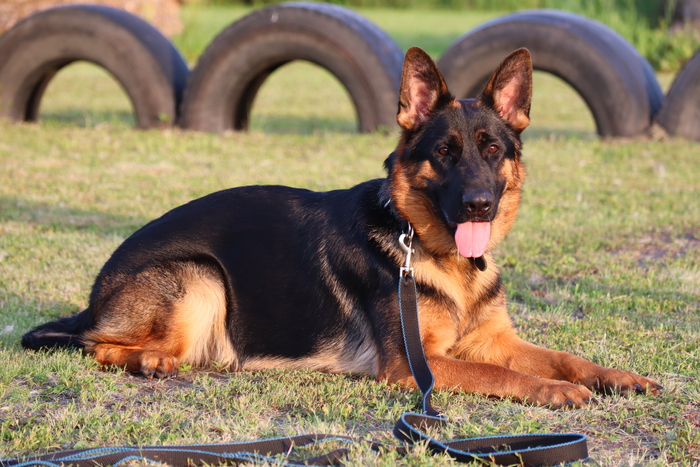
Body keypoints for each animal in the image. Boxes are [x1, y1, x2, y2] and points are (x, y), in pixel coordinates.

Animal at [22, 47, 661, 408]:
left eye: (492, 150)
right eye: (445, 153)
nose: (478, 206)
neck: (430, 249)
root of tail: (95, 293)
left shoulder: (498, 341)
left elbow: (564, 355)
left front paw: (616, 377)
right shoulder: (415, 366)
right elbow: (498, 375)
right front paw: (554, 392)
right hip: (199, 276)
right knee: (94, 344)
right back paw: (148, 361)